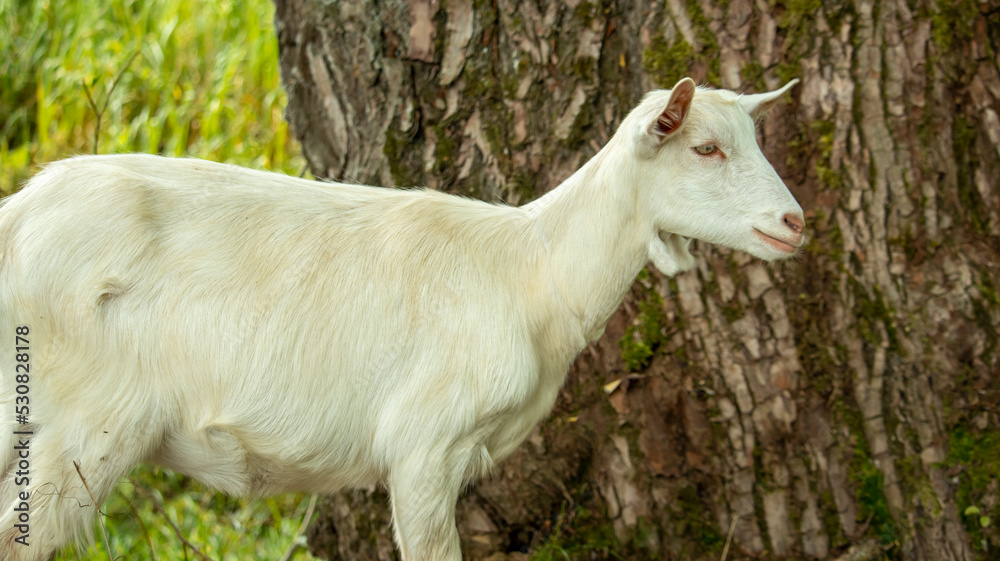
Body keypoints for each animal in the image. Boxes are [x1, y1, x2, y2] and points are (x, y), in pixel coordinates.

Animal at [0, 79, 800, 560]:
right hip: (85, 420)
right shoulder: (426, 446)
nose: (795, 223)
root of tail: (20, 214)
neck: (533, 271)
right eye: (705, 147)